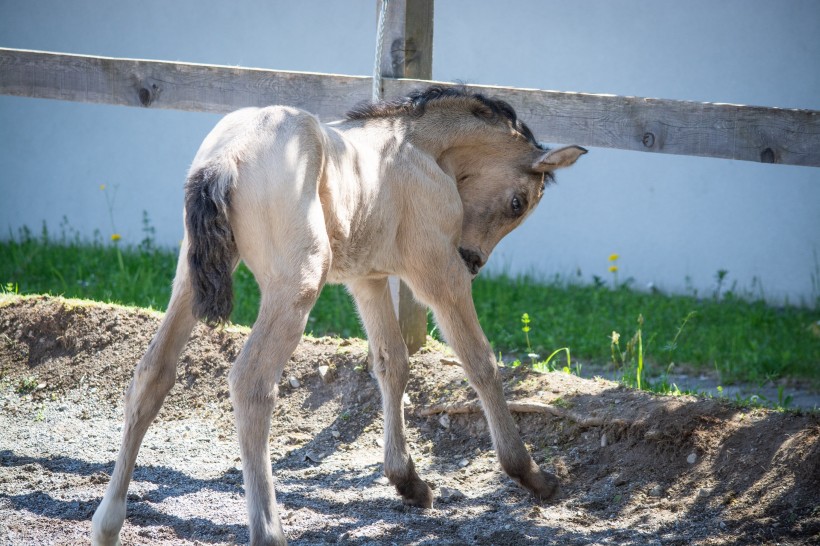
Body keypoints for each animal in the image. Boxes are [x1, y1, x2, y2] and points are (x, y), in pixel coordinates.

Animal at [93, 86, 588, 544]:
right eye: (518, 202)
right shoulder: (437, 274)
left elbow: (392, 363)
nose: (473, 260)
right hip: (297, 286)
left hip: (189, 280)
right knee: (251, 384)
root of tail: (227, 157)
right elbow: (480, 362)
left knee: (153, 373)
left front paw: (408, 481)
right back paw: (267, 531)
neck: (421, 151)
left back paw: (107, 523)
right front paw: (529, 473)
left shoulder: (367, 279)